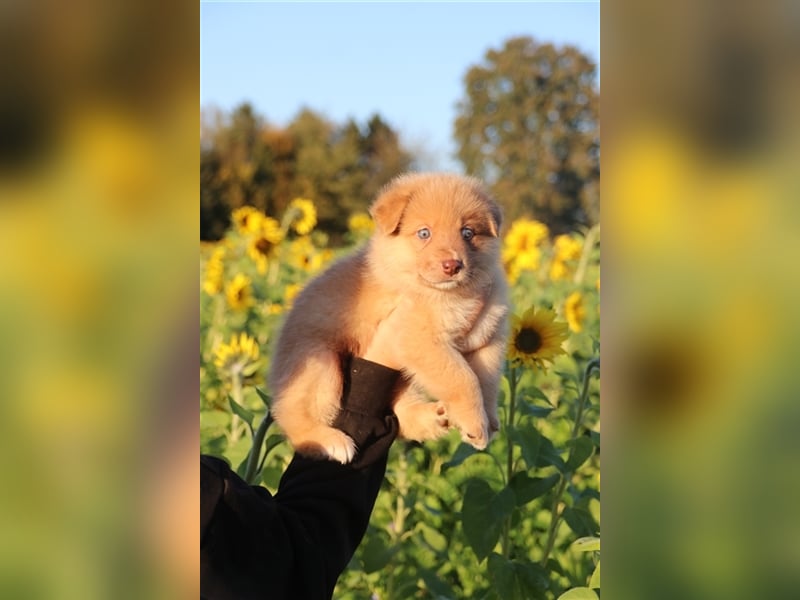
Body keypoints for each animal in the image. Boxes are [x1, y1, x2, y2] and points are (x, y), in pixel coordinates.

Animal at [268, 173, 506, 464]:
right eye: (424, 233)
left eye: (468, 233)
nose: (452, 265)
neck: (450, 295)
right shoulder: (419, 339)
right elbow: (463, 379)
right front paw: (475, 424)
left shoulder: (488, 340)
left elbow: (487, 381)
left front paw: (489, 420)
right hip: (320, 364)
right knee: (292, 416)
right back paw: (330, 441)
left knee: (399, 414)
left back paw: (432, 418)